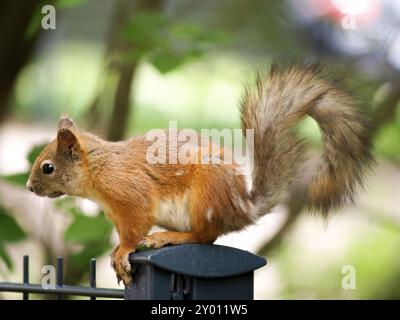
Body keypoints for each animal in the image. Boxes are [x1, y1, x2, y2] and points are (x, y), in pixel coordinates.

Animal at [26, 63, 374, 284]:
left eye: (48, 167)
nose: (29, 187)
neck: (98, 170)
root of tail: (242, 208)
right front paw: (116, 252)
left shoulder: (130, 195)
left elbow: (134, 229)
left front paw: (123, 252)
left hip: (206, 193)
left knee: (206, 236)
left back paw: (169, 237)